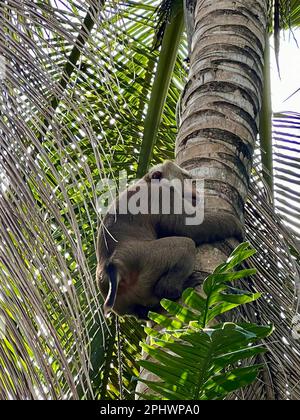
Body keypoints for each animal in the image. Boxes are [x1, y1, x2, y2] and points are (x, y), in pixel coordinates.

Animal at [96, 161, 244, 318]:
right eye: (186, 178)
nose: (195, 190)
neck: (149, 181)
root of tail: (114, 266)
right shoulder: (163, 195)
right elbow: (187, 227)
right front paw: (236, 225)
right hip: (145, 258)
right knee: (185, 244)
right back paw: (171, 289)